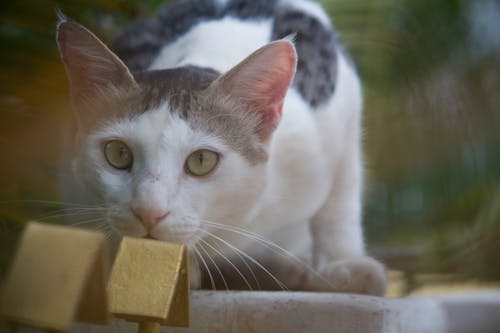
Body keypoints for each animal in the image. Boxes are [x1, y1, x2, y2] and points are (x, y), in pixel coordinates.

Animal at [57, 0, 386, 296]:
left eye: (202, 160)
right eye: (118, 153)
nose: (148, 212)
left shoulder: (343, 112)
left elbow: (339, 204)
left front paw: (345, 263)